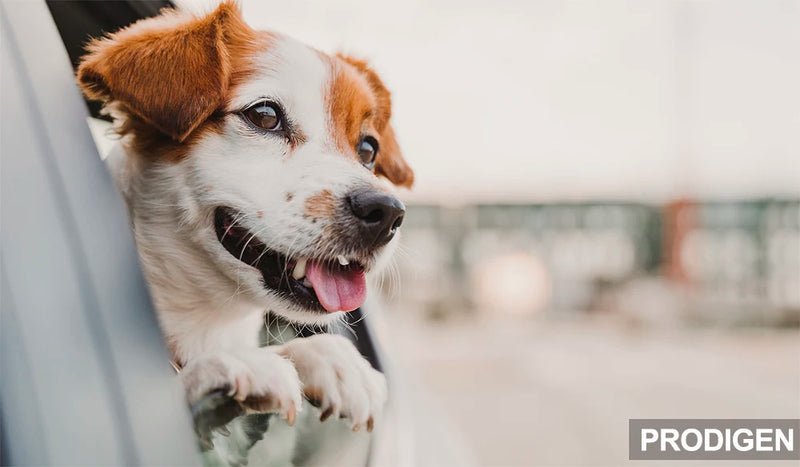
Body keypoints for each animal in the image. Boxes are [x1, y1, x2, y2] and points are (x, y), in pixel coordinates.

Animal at [76, 0, 412, 460]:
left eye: (368, 148)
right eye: (265, 115)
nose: (386, 212)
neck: (209, 319)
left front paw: (332, 357)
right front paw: (226, 365)